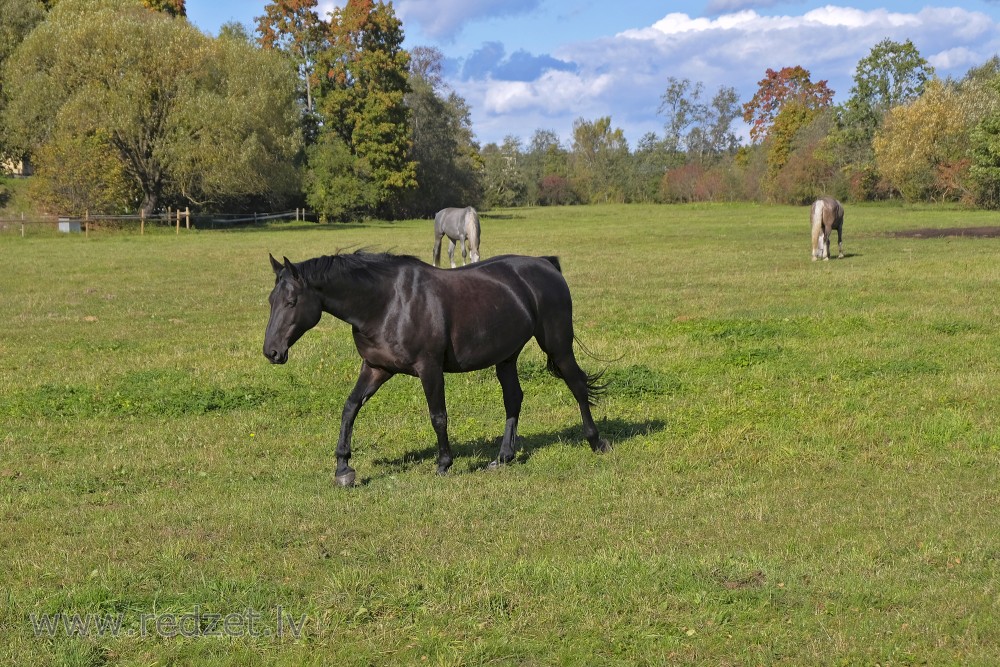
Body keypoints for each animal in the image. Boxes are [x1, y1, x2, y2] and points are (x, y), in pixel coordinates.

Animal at [266, 250, 608, 486]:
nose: (272, 352)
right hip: (507, 357)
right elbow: (350, 408)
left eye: (292, 302)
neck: (387, 304)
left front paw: (444, 463)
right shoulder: (376, 367)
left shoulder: (429, 368)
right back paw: (503, 457)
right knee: (513, 399)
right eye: (271, 300)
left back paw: (596, 442)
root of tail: (545, 264)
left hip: (558, 346)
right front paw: (343, 468)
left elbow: (438, 416)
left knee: (577, 386)